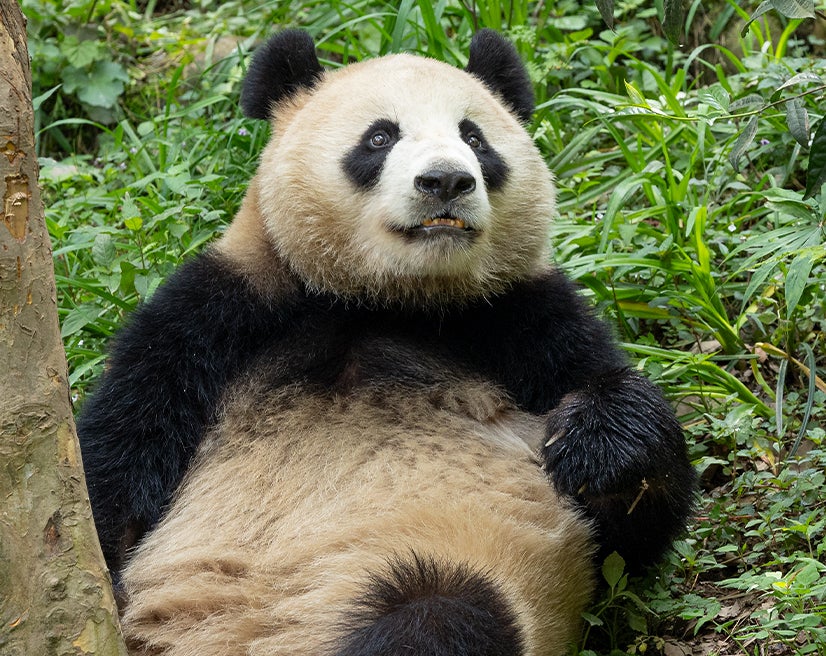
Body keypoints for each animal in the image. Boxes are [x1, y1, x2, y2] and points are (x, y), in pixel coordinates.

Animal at [77, 29, 695, 656]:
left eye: (474, 138)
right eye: (380, 136)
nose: (446, 181)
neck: (386, 300)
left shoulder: (520, 318)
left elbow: (635, 524)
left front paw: (596, 448)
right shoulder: (224, 312)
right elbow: (118, 457)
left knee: (441, 616)